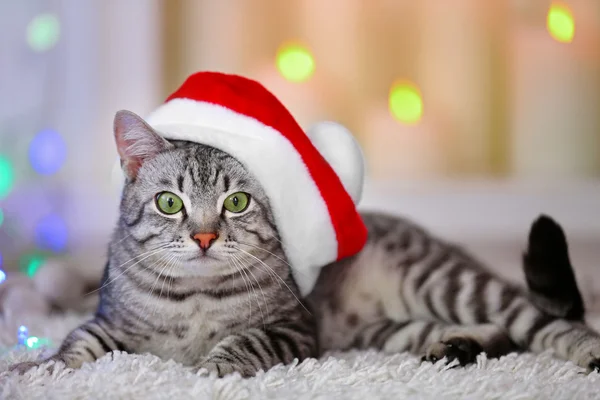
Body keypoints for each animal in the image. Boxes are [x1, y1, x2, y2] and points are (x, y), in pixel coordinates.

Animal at [8, 110, 600, 378]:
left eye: (236, 202)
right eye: (170, 203)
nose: (204, 235)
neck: (193, 302)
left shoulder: (292, 328)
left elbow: (240, 344)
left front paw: (205, 372)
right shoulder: (108, 323)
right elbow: (76, 344)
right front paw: (36, 369)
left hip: (447, 283)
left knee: (541, 323)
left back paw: (582, 351)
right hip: (390, 327)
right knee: (498, 333)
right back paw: (455, 348)